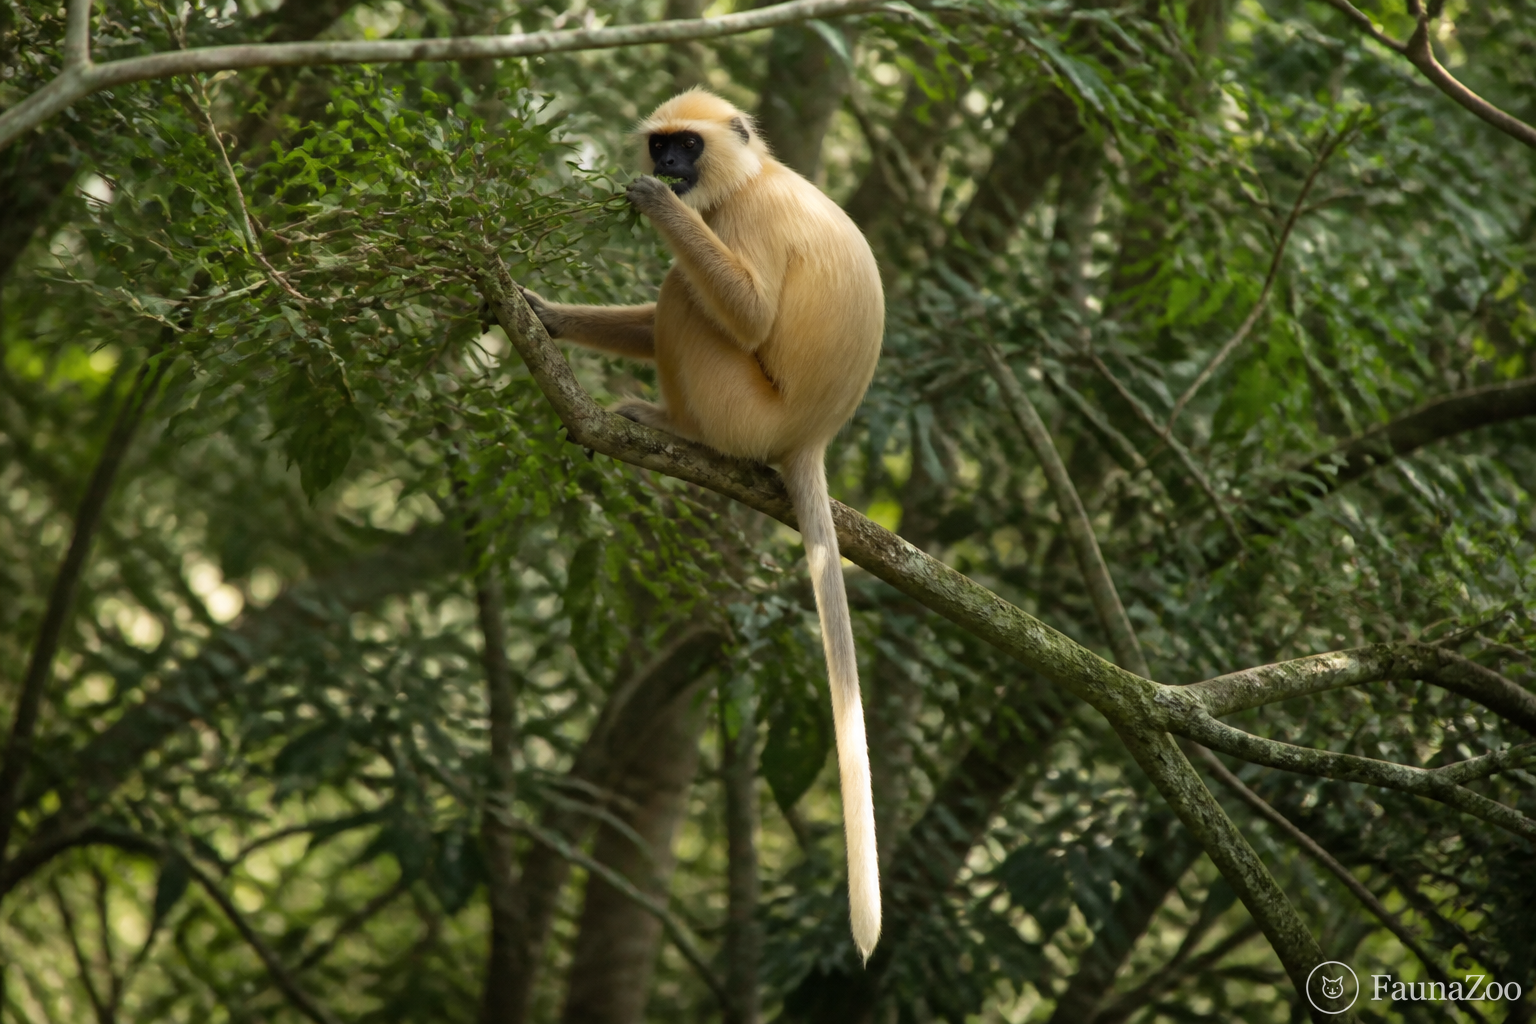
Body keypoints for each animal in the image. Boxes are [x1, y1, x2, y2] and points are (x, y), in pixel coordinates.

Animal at [518, 88, 885, 961]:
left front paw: (655, 206)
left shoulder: (744, 218)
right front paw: (547, 315)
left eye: (684, 146)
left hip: (742, 411)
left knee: (686, 295)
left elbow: (747, 316)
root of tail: (809, 438)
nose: (667, 167)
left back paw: (674, 427)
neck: (755, 177)